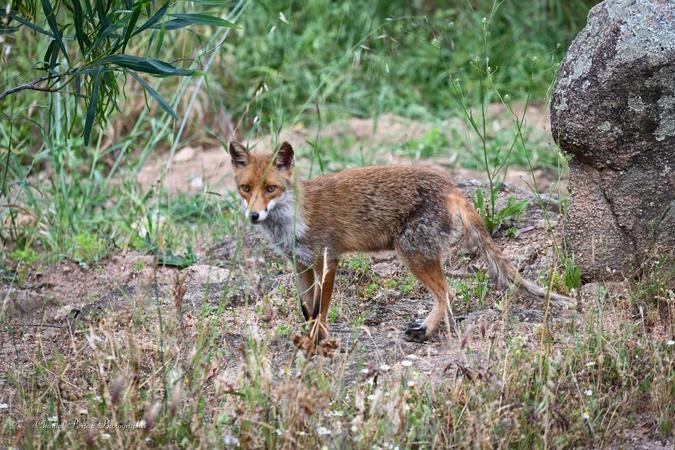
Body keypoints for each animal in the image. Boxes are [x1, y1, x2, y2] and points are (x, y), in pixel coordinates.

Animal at [229, 140, 573, 343]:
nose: (254, 216)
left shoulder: (328, 259)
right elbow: (306, 308)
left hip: (411, 253)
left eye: (271, 188)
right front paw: (306, 335)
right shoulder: (299, 264)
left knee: (447, 292)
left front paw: (318, 337)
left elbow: (321, 309)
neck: (293, 220)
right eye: (246, 188)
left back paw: (427, 330)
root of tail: (450, 184)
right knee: (446, 292)